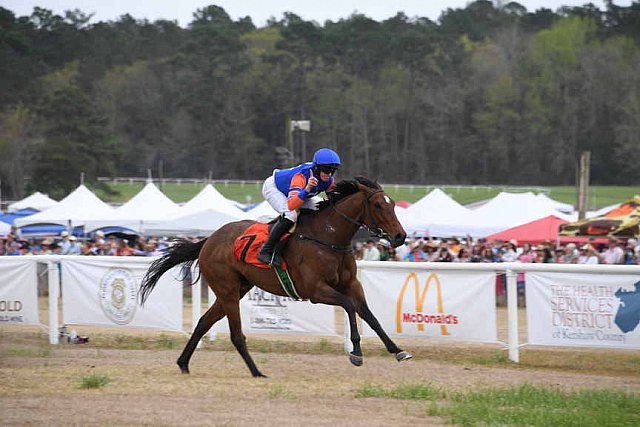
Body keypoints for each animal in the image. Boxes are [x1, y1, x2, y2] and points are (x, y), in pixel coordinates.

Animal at [140, 177, 410, 378]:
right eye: (378, 205)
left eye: (393, 204)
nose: (400, 236)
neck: (328, 237)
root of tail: (209, 240)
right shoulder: (315, 290)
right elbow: (349, 306)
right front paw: (356, 352)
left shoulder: (352, 284)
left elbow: (370, 316)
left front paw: (397, 350)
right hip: (227, 291)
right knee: (236, 334)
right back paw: (256, 372)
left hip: (236, 289)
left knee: (204, 322)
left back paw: (184, 363)